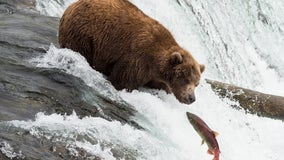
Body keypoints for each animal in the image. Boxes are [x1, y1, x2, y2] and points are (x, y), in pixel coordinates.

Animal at [58, 0, 204, 104]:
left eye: (196, 84)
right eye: (186, 79)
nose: (191, 98)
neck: (156, 63)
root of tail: (73, 4)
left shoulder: (155, 77)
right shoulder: (139, 59)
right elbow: (123, 80)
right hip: (84, 32)